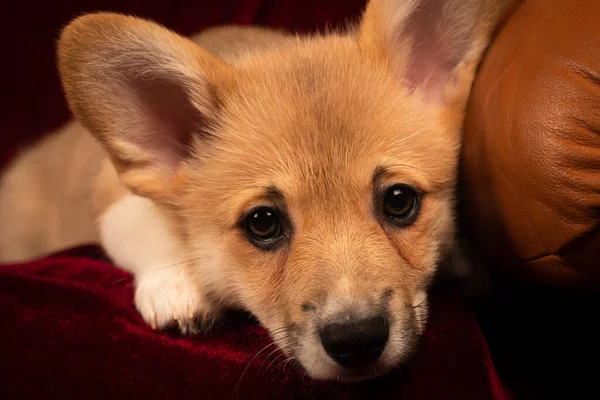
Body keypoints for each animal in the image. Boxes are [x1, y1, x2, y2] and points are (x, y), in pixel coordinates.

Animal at [0, 0, 500, 382]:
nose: (357, 342)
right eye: (263, 223)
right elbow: (147, 225)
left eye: (399, 201)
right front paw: (177, 286)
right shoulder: (113, 197)